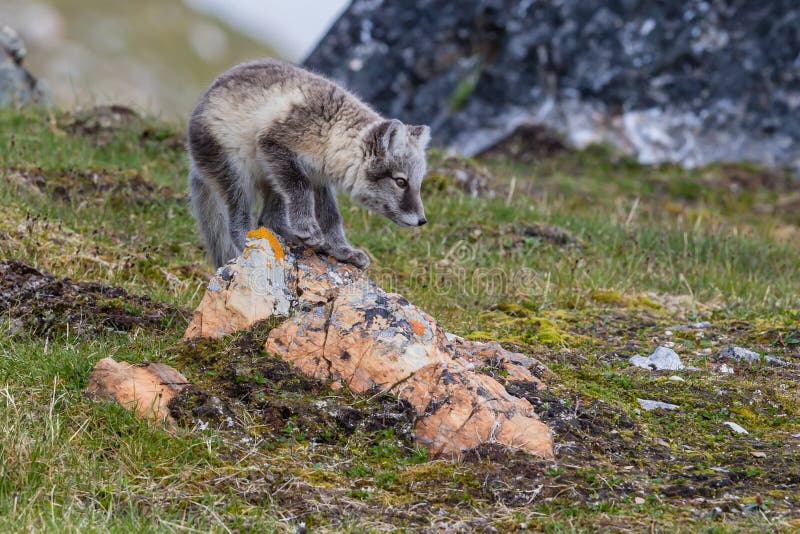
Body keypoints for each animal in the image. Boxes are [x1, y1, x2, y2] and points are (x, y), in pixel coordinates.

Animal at [187, 59, 432, 270]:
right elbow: (301, 188)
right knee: (239, 224)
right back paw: (255, 242)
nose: (422, 221)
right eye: (401, 182)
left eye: (418, 183)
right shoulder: (274, 144)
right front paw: (307, 228)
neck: (331, 133)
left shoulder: (319, 178)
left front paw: (342, 251)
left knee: (269, 219)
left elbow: (332, 217)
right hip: (237, 176)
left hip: (274, 182)